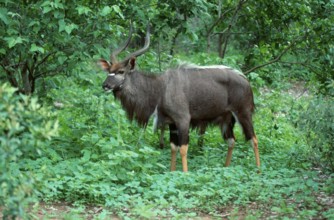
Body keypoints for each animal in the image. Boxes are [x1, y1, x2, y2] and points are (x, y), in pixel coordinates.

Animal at [98, 24, 260, 172]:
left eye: (121, 71)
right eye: (109, 70)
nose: (105, 85)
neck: (160, 88)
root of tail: (246, 81)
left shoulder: (183, 120)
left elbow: (183, 148)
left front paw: (185, 175)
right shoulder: (172, 123)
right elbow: (173, 147)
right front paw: (172, 172)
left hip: (243, 113)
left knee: (254, 139)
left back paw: (258, 171)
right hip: (227, 119)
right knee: (232, 141)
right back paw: (226, 168)